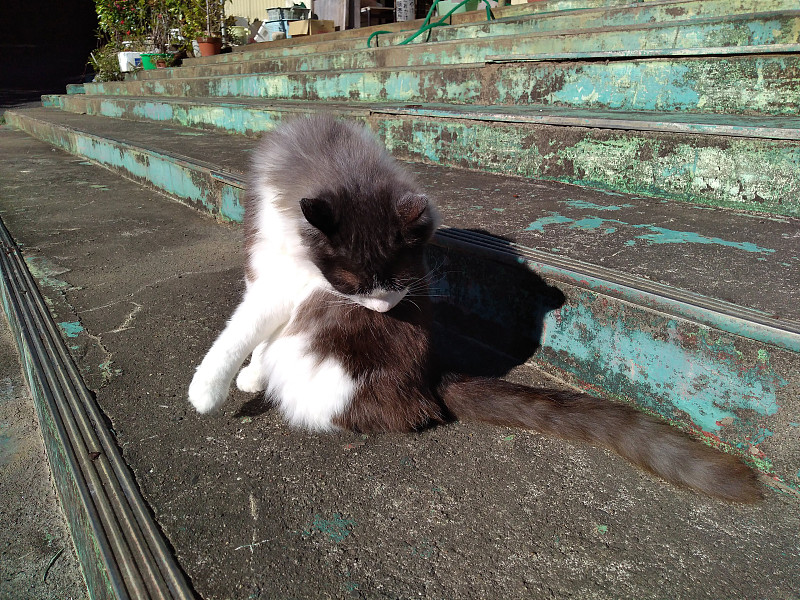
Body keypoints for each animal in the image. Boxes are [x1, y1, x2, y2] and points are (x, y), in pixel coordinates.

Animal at [188, 115, 756, 504]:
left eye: (400, 282)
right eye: (355, 282)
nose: (384, 309)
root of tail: (428, 381)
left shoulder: (290, 289)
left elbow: (241, 333)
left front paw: (209, 389)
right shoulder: (268, 269)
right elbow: (253, 332)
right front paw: (248, 376)